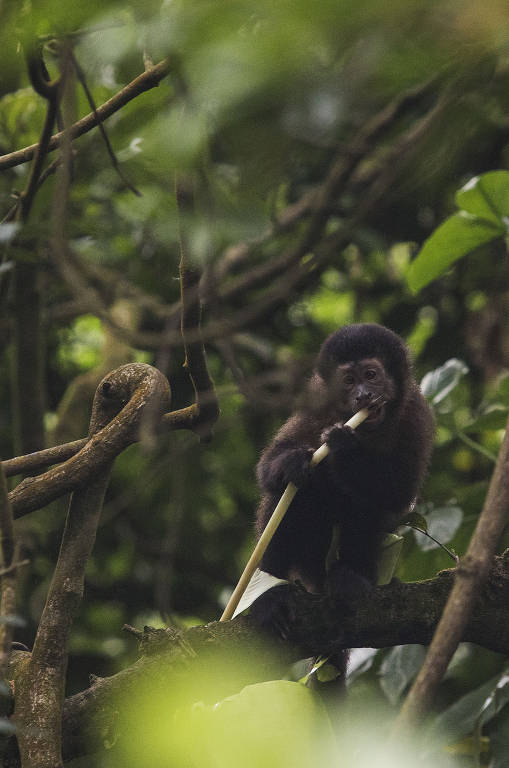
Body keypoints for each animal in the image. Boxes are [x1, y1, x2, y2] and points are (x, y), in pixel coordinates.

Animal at [251, 323, 434, 637]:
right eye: (348, 381)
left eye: (371, 375)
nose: (362, 395)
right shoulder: (316, 401)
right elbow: (269, 467)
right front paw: (292, 461)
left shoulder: (415, 413)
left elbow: (398, 492)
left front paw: (344, 447)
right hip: (309, 561)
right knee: (295, 493)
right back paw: (270, 593)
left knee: (365, 503)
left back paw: (350, 576)